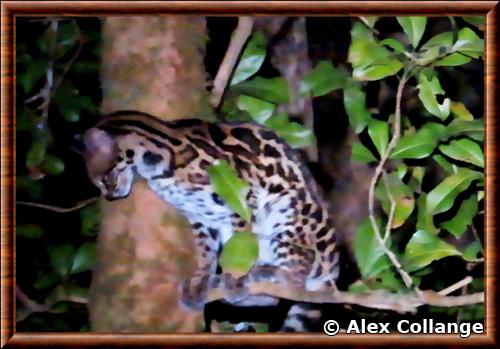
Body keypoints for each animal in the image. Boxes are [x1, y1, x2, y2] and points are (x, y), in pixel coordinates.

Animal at [83, 110, 340, 330]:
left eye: (104, 179)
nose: (109, 196)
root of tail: (332, 271)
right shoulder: (200, 216)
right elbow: (206, 252)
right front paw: (201, 282)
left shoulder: (243, 199)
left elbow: (241, 240)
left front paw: (235, 279)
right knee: (274, 298)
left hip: (284, 216)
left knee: (296, 280)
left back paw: (266, 274)